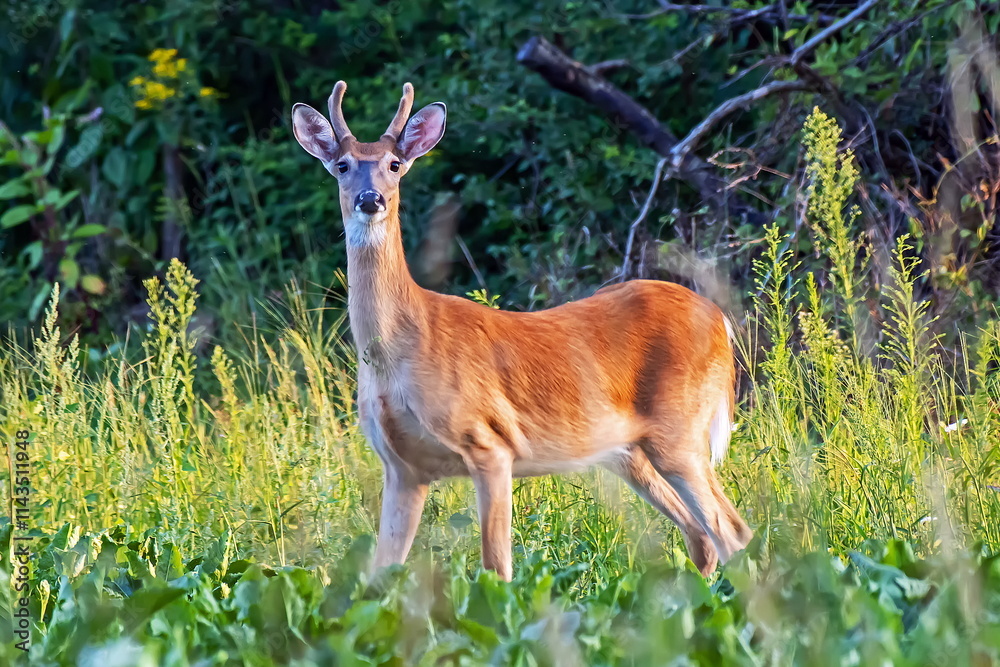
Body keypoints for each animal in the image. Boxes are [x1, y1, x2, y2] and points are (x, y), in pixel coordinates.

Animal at [291, 81, 753, 581]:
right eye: (342, 165)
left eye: (395, 164)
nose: (370, 199)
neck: (399, 353)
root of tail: (720, 320)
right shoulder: (403, 469)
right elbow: (378, 577)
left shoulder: (490, 445)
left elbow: (497, 570)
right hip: (630, 452)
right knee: (701, 537)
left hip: (680, 427)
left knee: (731, 531)